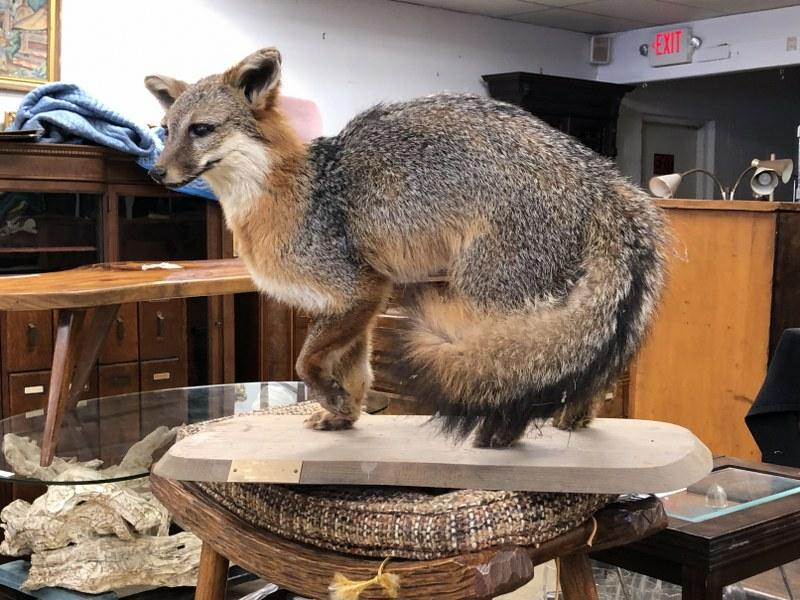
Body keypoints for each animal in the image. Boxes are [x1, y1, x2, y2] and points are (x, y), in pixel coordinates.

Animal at [145, 47, 667, 447]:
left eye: (201, 129)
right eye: (165, 130)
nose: (155, 172)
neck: (298, 189)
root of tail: (597, 171)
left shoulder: (359, 290)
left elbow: (305, 361)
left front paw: (332, 399)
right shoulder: (361, 301)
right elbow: (355, 372)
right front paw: (343, 414)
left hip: (488, 301)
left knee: (519, 372)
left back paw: (499, 436)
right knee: (590, 372)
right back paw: (572, 419)